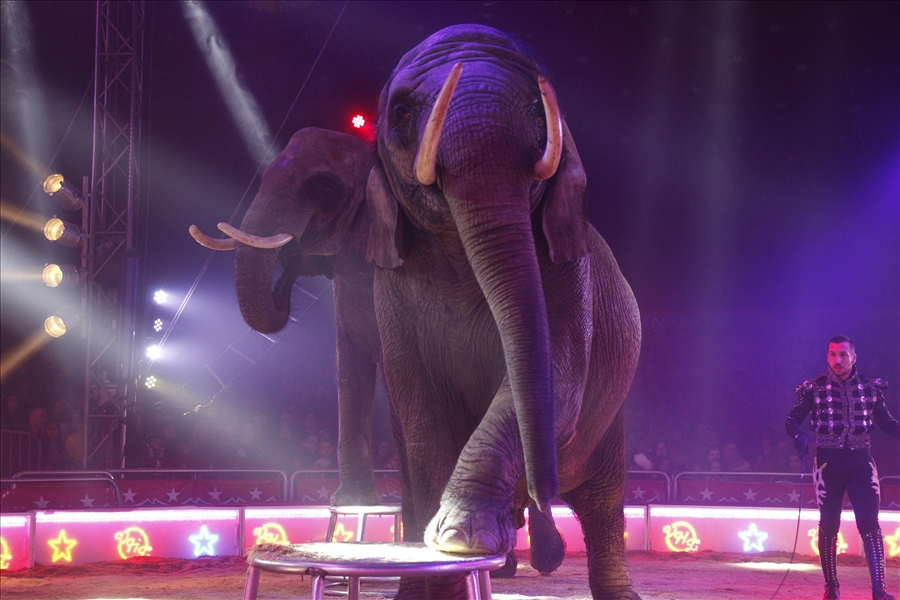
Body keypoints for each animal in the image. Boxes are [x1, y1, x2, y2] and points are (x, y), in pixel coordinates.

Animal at [366, 24, 641, 599]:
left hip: (610, 426)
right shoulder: (390, 298)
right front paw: (450, 558)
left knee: (605, 506)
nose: (540, 494)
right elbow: (424, 410)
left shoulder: (567, 274)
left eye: (541, 111)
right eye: (400, 112)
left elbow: (553, 385)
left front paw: (461, 538)